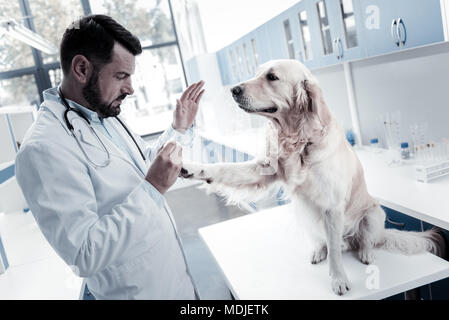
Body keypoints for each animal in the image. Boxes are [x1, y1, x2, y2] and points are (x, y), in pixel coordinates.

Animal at [179, 59, 444, 296]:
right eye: (256, 73)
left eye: (272, 77)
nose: (233, 89)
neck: (297, 139)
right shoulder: (264, 170)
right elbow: (223, 168)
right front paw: (189, 167)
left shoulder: (332, 206)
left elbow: (336, 253)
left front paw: (338, 280)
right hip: (302, 213)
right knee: (323, 240)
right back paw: (318, 250)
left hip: (373, 214)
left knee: (365, 240)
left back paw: (365, 252)